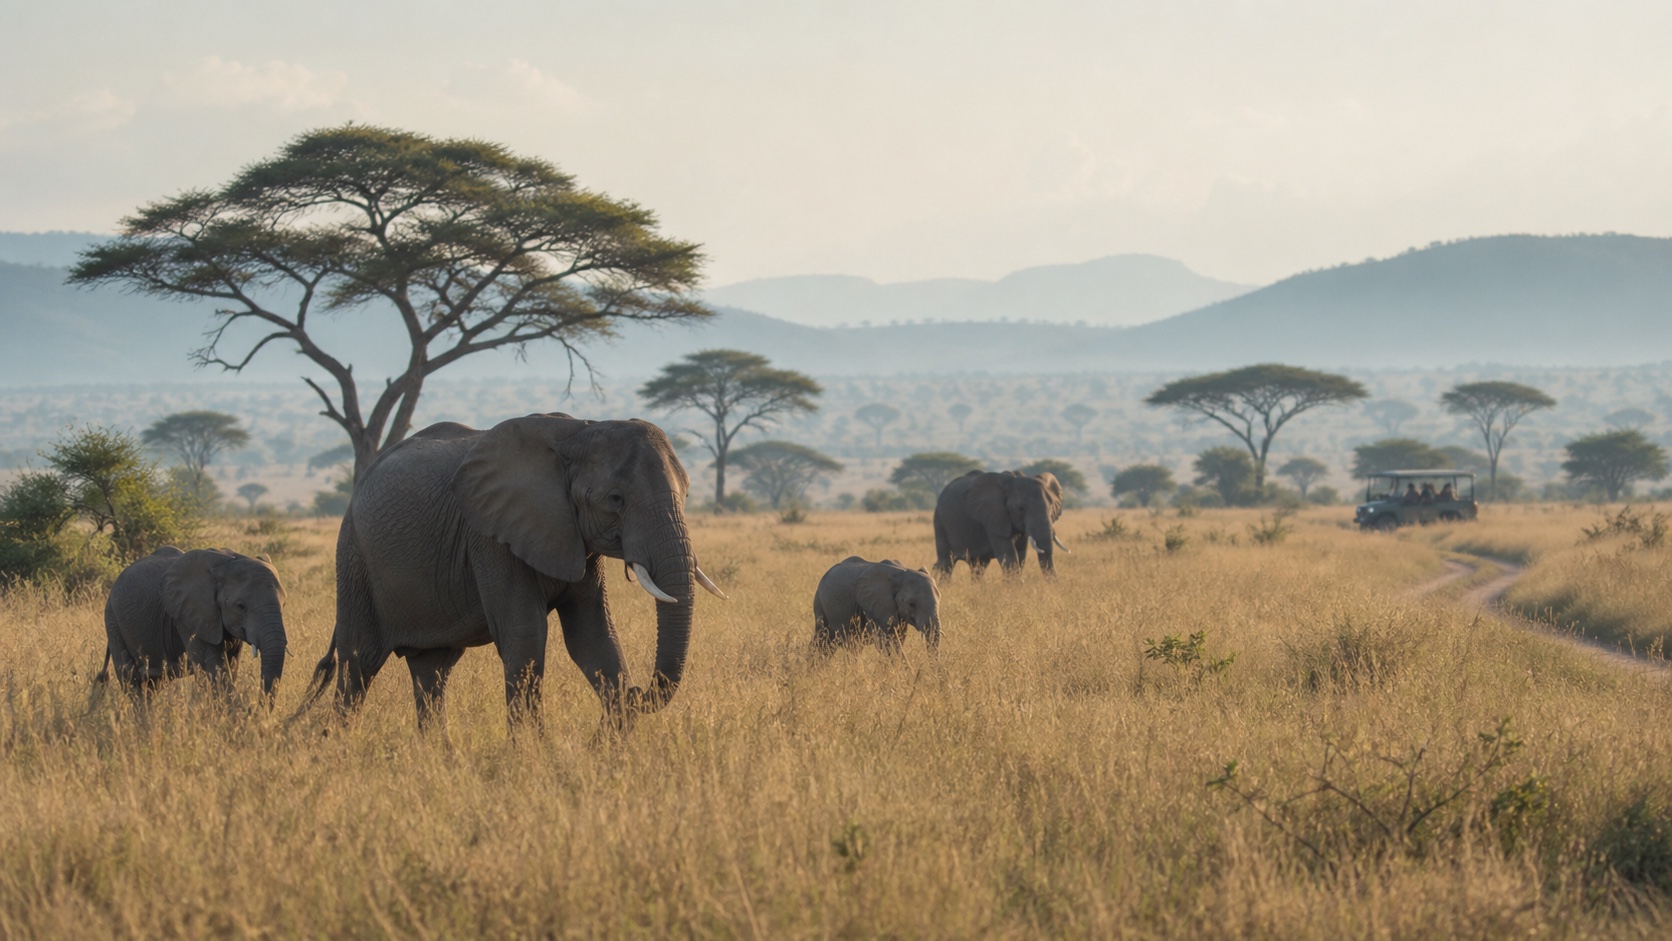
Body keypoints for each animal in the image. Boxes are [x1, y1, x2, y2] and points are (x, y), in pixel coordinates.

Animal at [97, 546, 289, 700]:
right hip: (113, 620)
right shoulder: (190, 617)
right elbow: (214, 670)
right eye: (241, 606)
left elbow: (231, 665)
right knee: (131, 681)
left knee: (151, 685)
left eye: (284, 604)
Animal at [296, 413, 726, 729]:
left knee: (431, 672)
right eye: (616, 499)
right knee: (358, 666)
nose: (637, 693)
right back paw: (339, 747)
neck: (579, 429)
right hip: (354, 559)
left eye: (688, 494)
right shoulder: (490, 538)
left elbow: (592, 635)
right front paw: (535, 759)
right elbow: (526, 638)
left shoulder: (576, 541)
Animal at [933, 470, 1068, 578]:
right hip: (939, 521)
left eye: (1051, 507)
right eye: (1020, 508)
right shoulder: (993, 518)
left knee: (978, 566)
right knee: (947, 563)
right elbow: (1008, 555)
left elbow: (1021, 555)